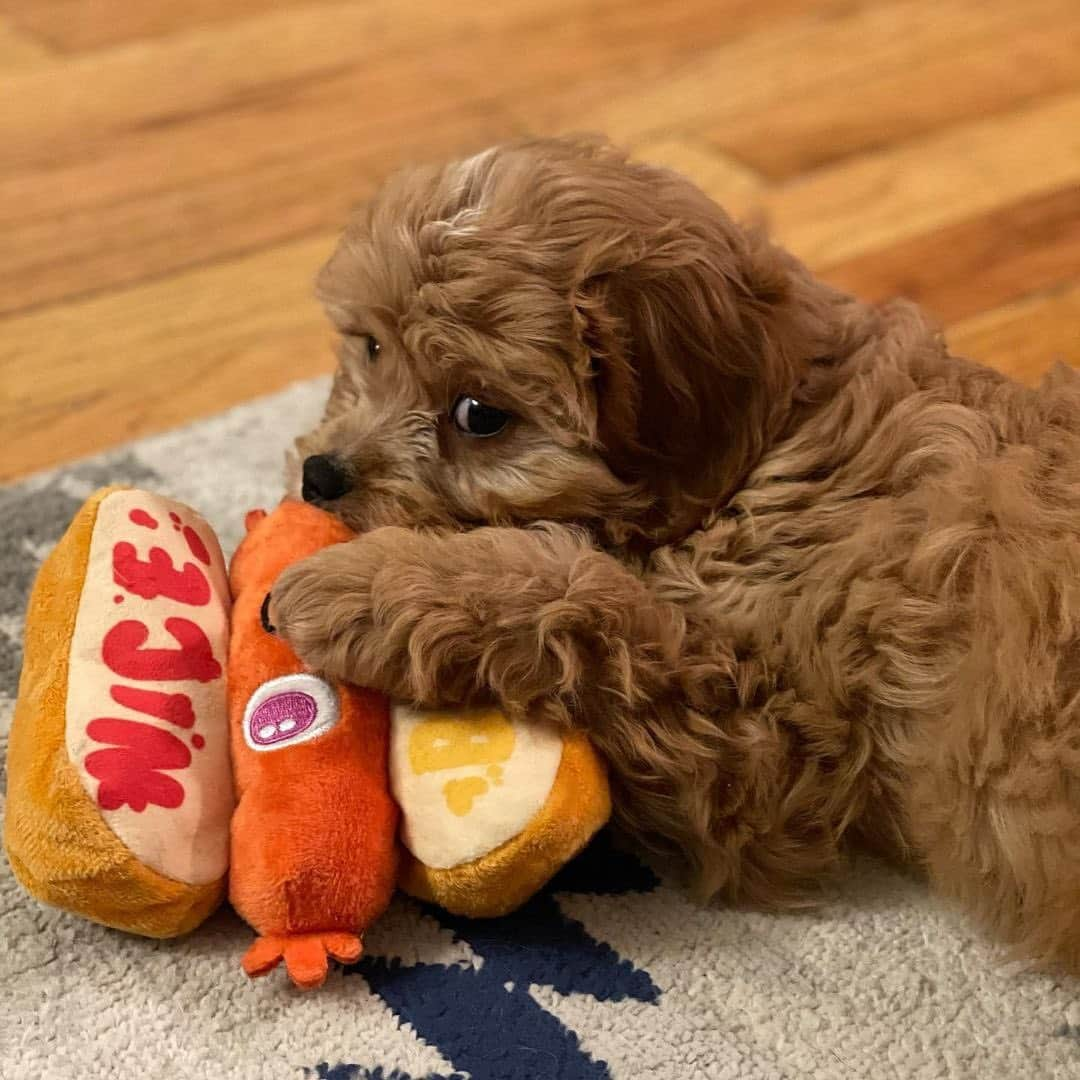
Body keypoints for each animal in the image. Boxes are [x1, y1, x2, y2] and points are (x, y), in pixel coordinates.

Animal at [270, 135, 1080, 972]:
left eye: (479, 415)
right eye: (370, 347)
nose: (320, 476)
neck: (779, 435)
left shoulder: (765, 751)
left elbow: (582, 597)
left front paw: (359, 588)